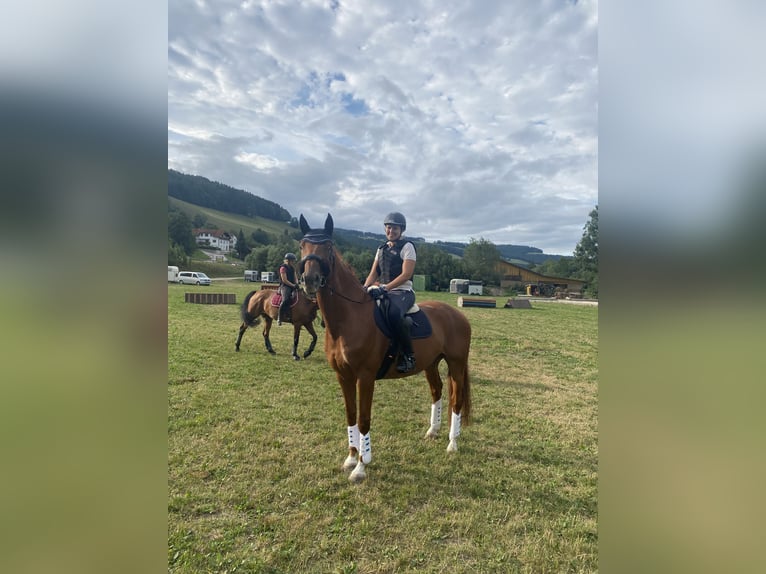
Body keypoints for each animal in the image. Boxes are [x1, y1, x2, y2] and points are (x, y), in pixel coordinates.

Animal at [298, 213, 472, 483]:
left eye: (327, 247)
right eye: (302, 246)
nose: (309, 280)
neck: (349, 318)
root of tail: (457, 315)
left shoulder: (365, 377)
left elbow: (363, 419)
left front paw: (361, 466)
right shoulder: (343, 376)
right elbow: (350, 416)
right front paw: (351, 458)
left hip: (456, 363)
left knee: (457, 399)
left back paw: (452, 443)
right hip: (431, 364)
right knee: (437, 391)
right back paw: (433, 431)